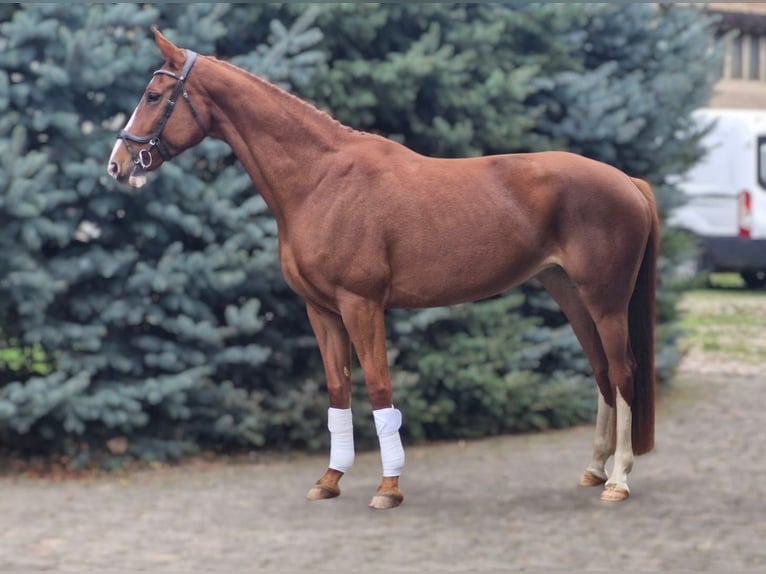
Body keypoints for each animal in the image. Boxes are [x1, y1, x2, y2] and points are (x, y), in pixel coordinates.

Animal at [108, 28, 659, 509]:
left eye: (154, 95)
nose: (117, 163)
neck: (321, 180)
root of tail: (627, 181)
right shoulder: (321, 310)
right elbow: (338, 391)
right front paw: (329, 480)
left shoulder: (362, 304)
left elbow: (378, 389)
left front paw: (388, 488)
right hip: (569, 294)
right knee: (601, 372)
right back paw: (594, 469)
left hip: (606, 300)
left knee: (622, 371)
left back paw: (618, 480)